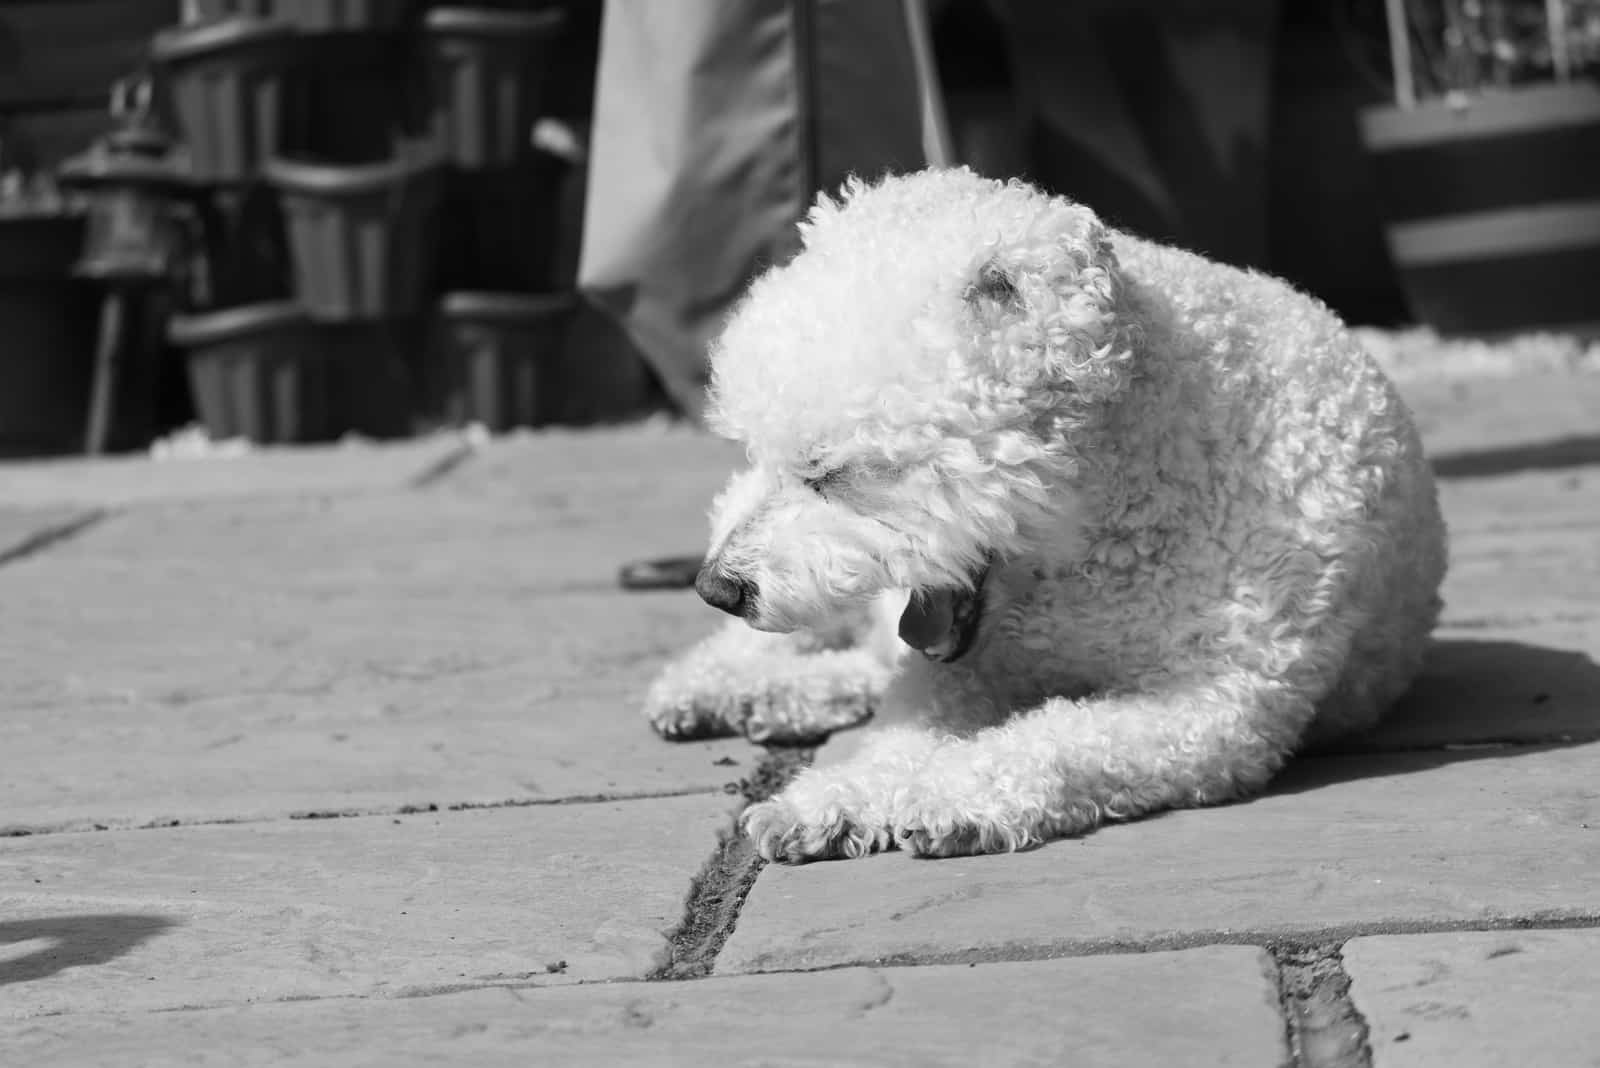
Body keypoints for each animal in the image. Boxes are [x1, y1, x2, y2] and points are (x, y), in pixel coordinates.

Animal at [640, 168, 1452, 869]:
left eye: (827, 473)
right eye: (753, 453)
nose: (717, 588)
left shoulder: (1214, 708)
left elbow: (1055, 737)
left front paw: (947, 797)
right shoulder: (960, 672)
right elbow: (903, 730)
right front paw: (837, 797)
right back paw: (713, 687)